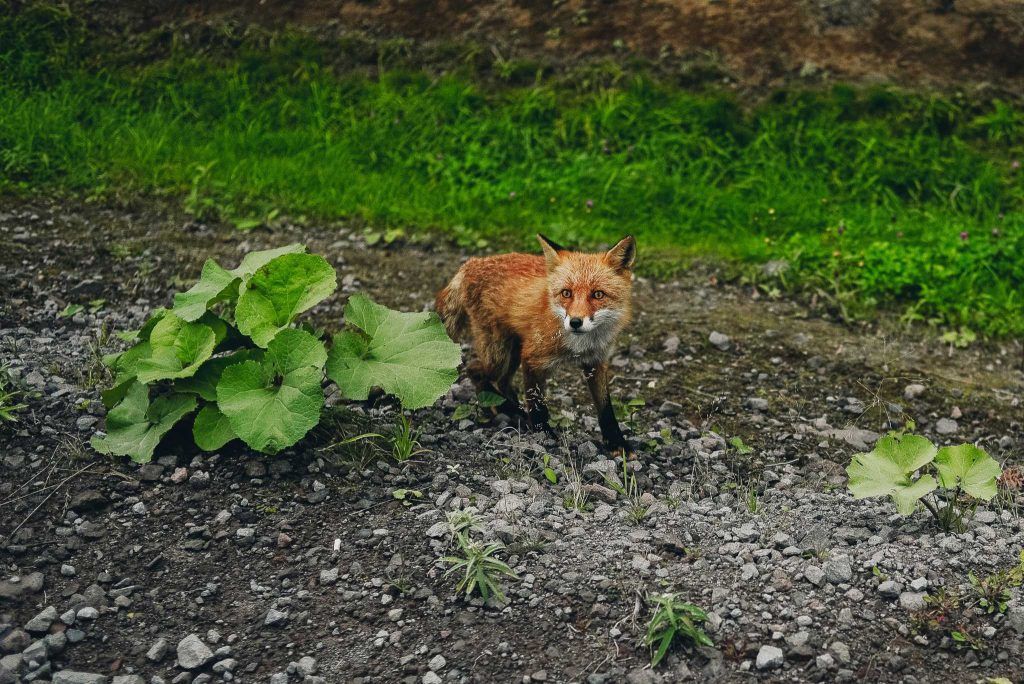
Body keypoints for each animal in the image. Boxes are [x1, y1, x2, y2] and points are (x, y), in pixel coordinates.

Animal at [436, 234, 636, 454]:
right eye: (566, 293)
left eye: (598, 294)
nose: (575, 322)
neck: (580, 344)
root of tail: (471, 263)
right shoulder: (533, 358)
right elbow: (537, 405)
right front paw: (544, 435)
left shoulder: (596, 362)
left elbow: (605, 408)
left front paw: (616, 442)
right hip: (499, 356)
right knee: (475, 371)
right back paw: (507, 408)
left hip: (513, 352)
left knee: (502, 382)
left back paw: (512, 408)